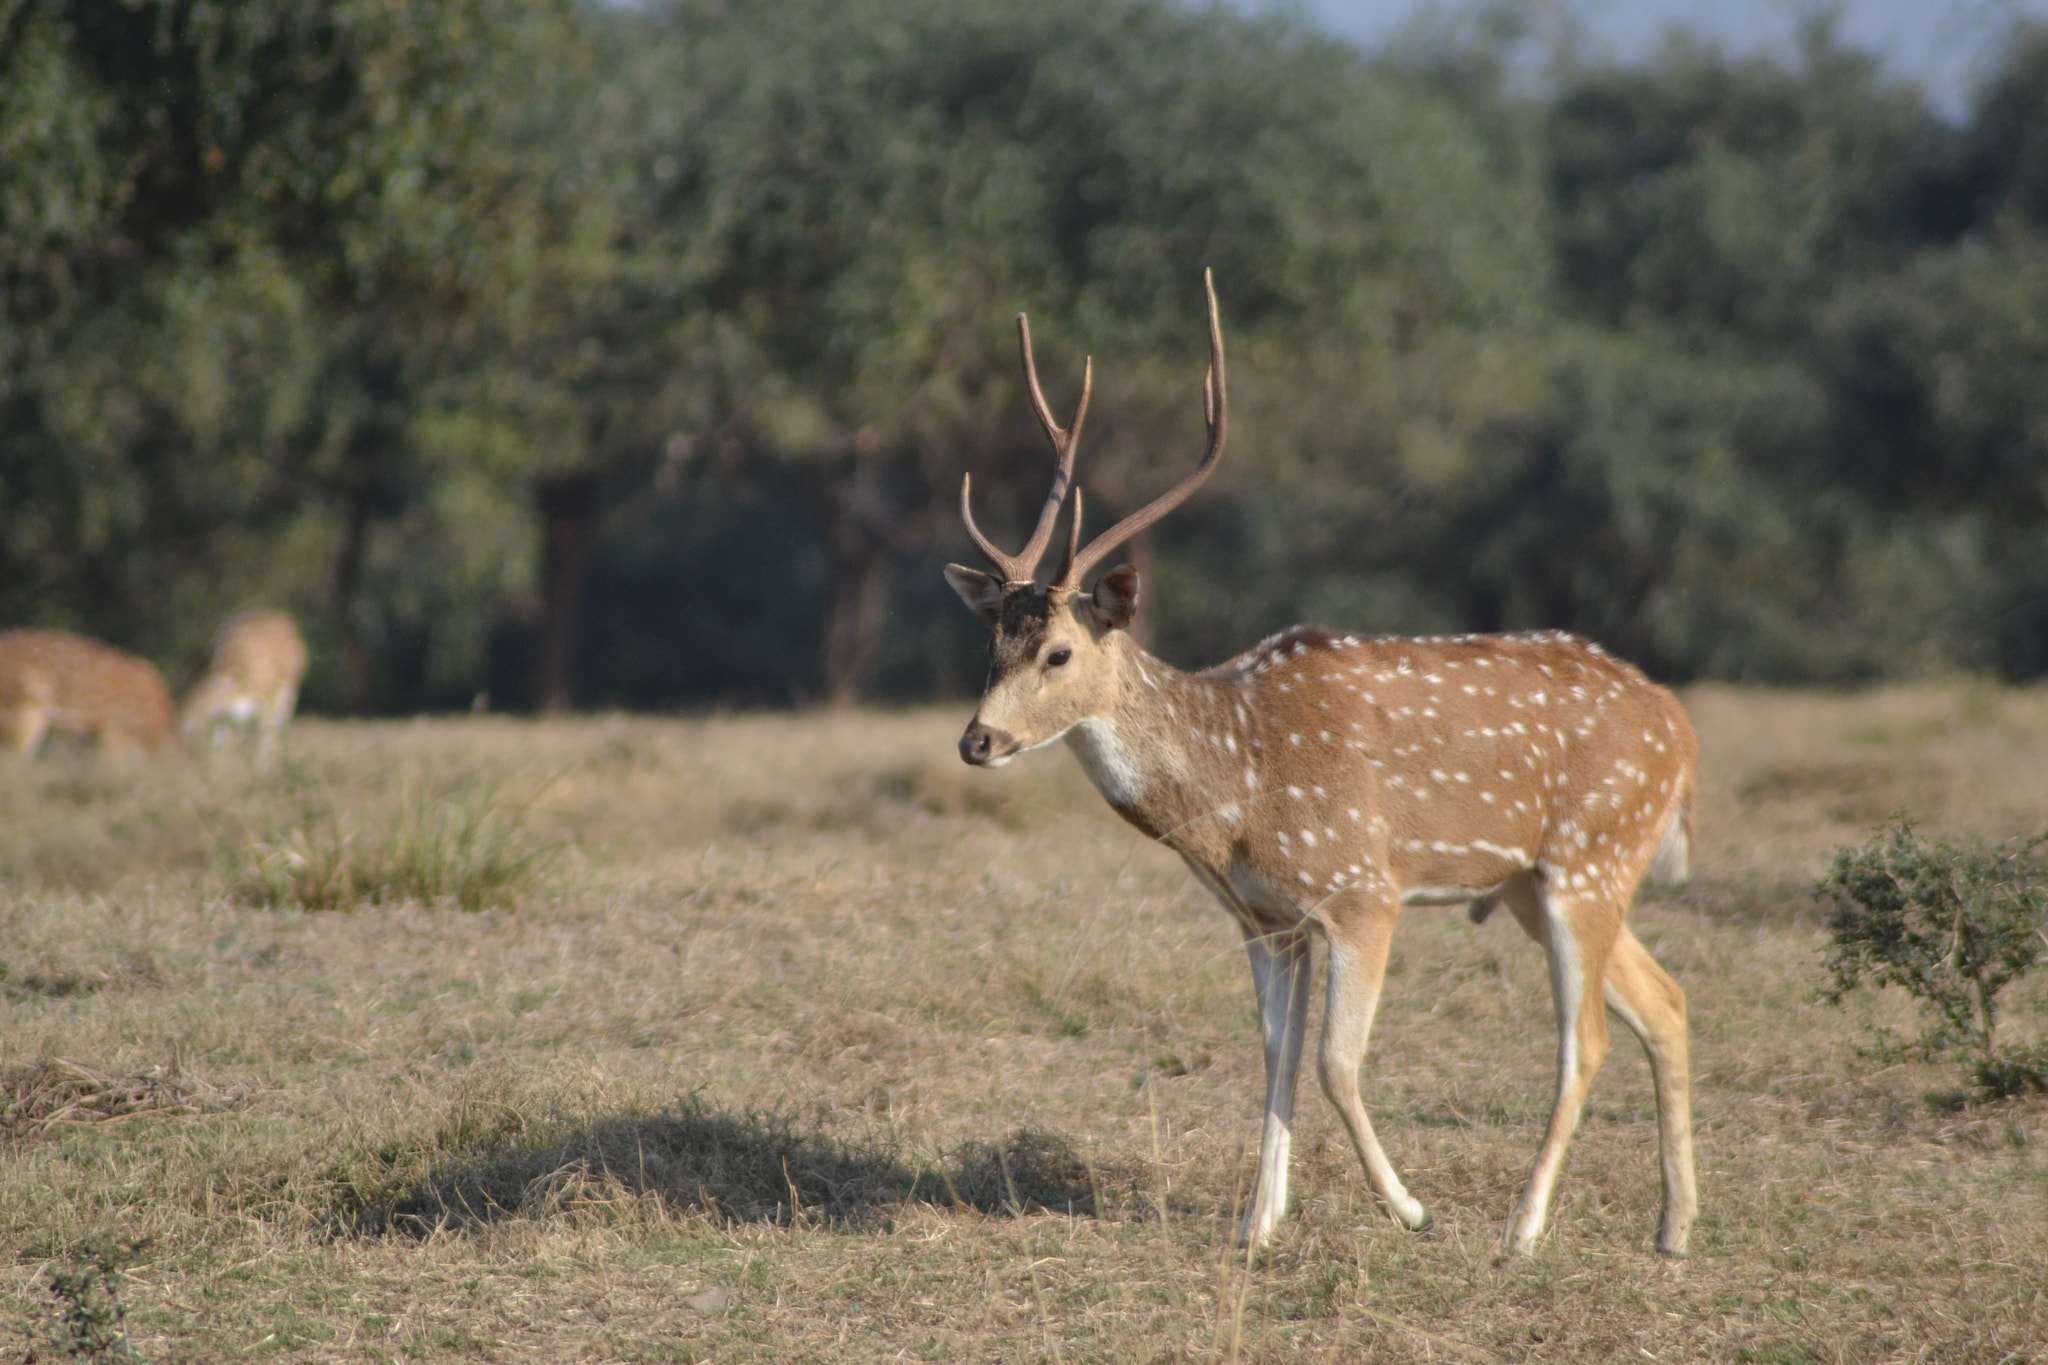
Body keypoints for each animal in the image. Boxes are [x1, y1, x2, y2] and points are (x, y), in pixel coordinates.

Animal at [180, 610, 308, 766]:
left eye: (202, 699)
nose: (183, 726)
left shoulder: (265, 696)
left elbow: (266, 730)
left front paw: (262, 764)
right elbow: (222, 739)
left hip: (287, 688)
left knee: (280, 720)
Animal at [942, 271, 1699, 1258]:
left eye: (1059, 651)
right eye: (992, 641)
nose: (977, 740)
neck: (1238, 792)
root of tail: (1680, 727)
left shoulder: (1361, 889)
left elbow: (1337, 1062)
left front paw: (1409, 1209)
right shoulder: (1267, 920)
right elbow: (1278, 1056)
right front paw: (1256, 1225)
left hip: (1591, 855)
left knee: (1589, 1036)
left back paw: (1522, 1228)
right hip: (1537, 882)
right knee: (1668, 1002)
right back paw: (1675, 1227)